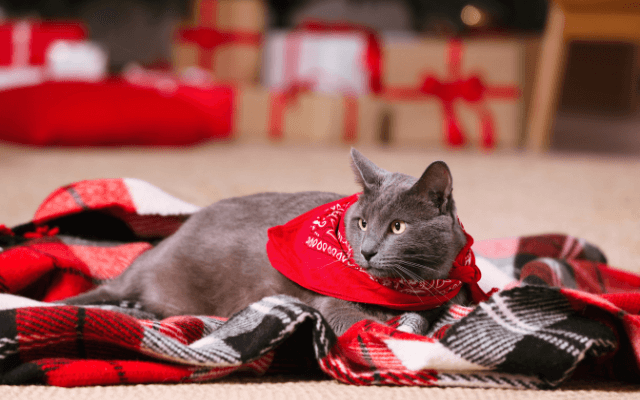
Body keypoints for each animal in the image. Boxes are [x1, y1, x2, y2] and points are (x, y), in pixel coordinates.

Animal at [65, 148, 468, 336]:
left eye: (398, 227)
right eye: (363, 223)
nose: (367, 251)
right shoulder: (330, 302)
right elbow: (355, 320)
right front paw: (388, 330)